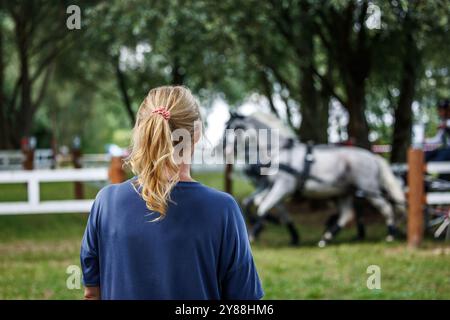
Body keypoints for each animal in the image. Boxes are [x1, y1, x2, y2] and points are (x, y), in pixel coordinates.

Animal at [223, 111, 406, 246]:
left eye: (234, 128)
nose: (225, 151)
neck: (280, 151)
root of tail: (373, 156)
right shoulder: (270, 186)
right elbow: (254, 202)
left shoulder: (283, 187)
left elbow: (263, 206)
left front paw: (255, 233)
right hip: (343, 192)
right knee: (347, 214)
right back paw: (326, 238)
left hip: (369, 189)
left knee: (386, 207)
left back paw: (391, 234)